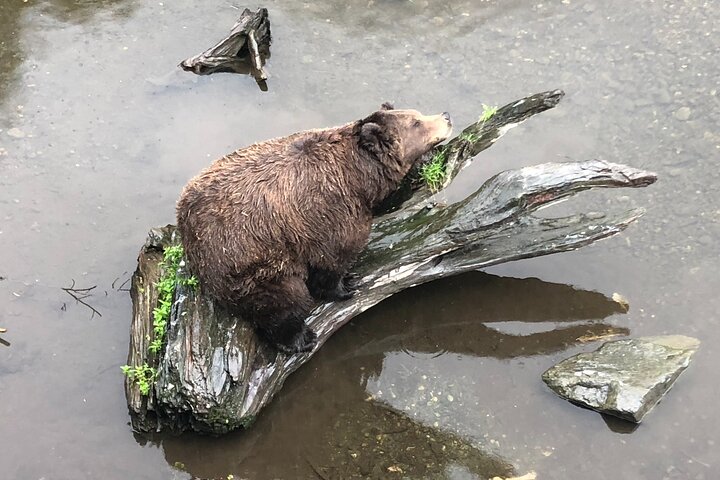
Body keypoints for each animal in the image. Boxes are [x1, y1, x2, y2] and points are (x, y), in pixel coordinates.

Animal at [176, 104, 452, 353]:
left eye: (417, 113)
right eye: (416, 123)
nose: (446, 116)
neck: (358, 175)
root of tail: (184, 223)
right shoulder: (330, 211)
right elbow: (333, 257)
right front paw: (344, 286)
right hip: (248, 261)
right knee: (282, 300)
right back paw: (299, 338)